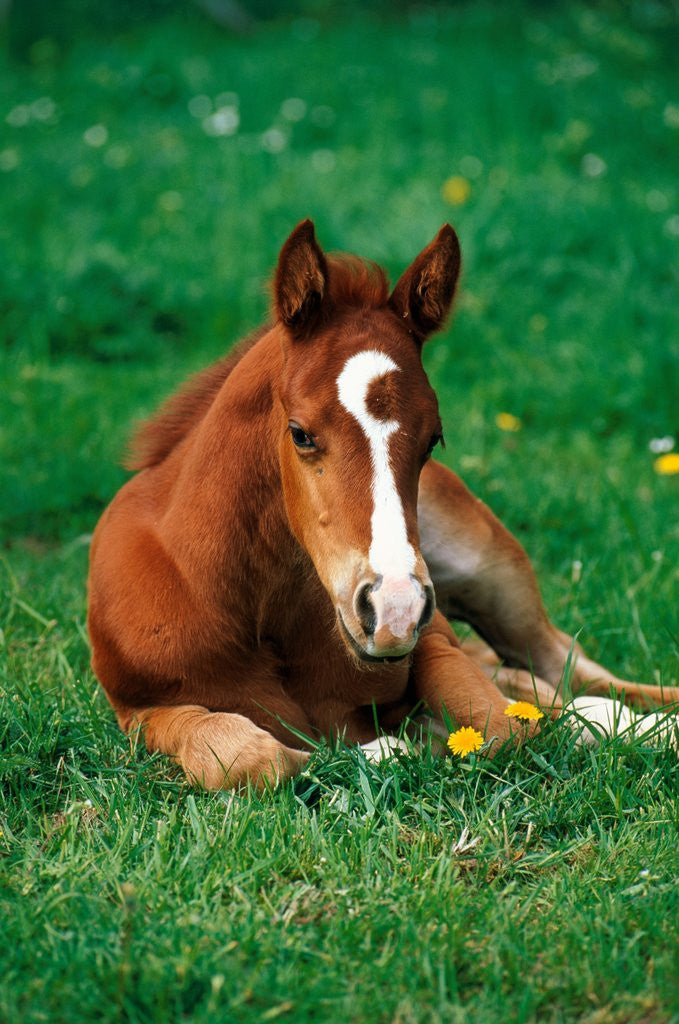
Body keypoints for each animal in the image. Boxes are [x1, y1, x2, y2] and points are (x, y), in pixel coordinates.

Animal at [87, 220, 678, 789]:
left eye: (433, 439)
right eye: (300, 433)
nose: (394, 609)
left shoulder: (434, 639)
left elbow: (499, 724)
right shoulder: (141, 711)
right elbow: (251, 758)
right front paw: (390, 745)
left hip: (492, 575)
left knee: (571, 672)